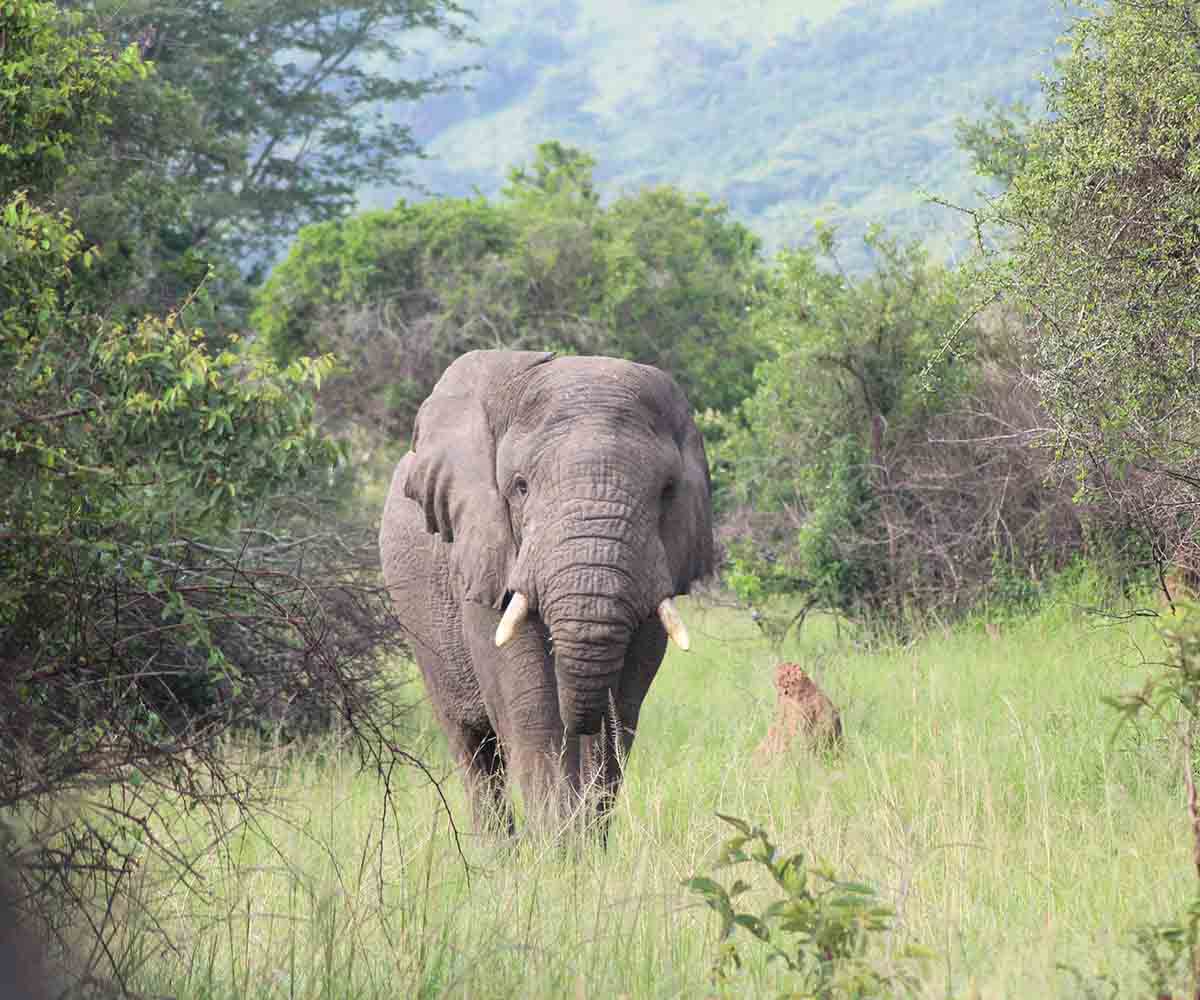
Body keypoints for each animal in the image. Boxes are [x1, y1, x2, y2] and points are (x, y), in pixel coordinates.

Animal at [379, 350, 710, 835]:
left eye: (666, 492)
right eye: (520, 487)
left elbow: (622, 713)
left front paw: (584, 840)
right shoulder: (484, 555)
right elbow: (532, 712)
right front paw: (559, 845)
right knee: (472, 750)